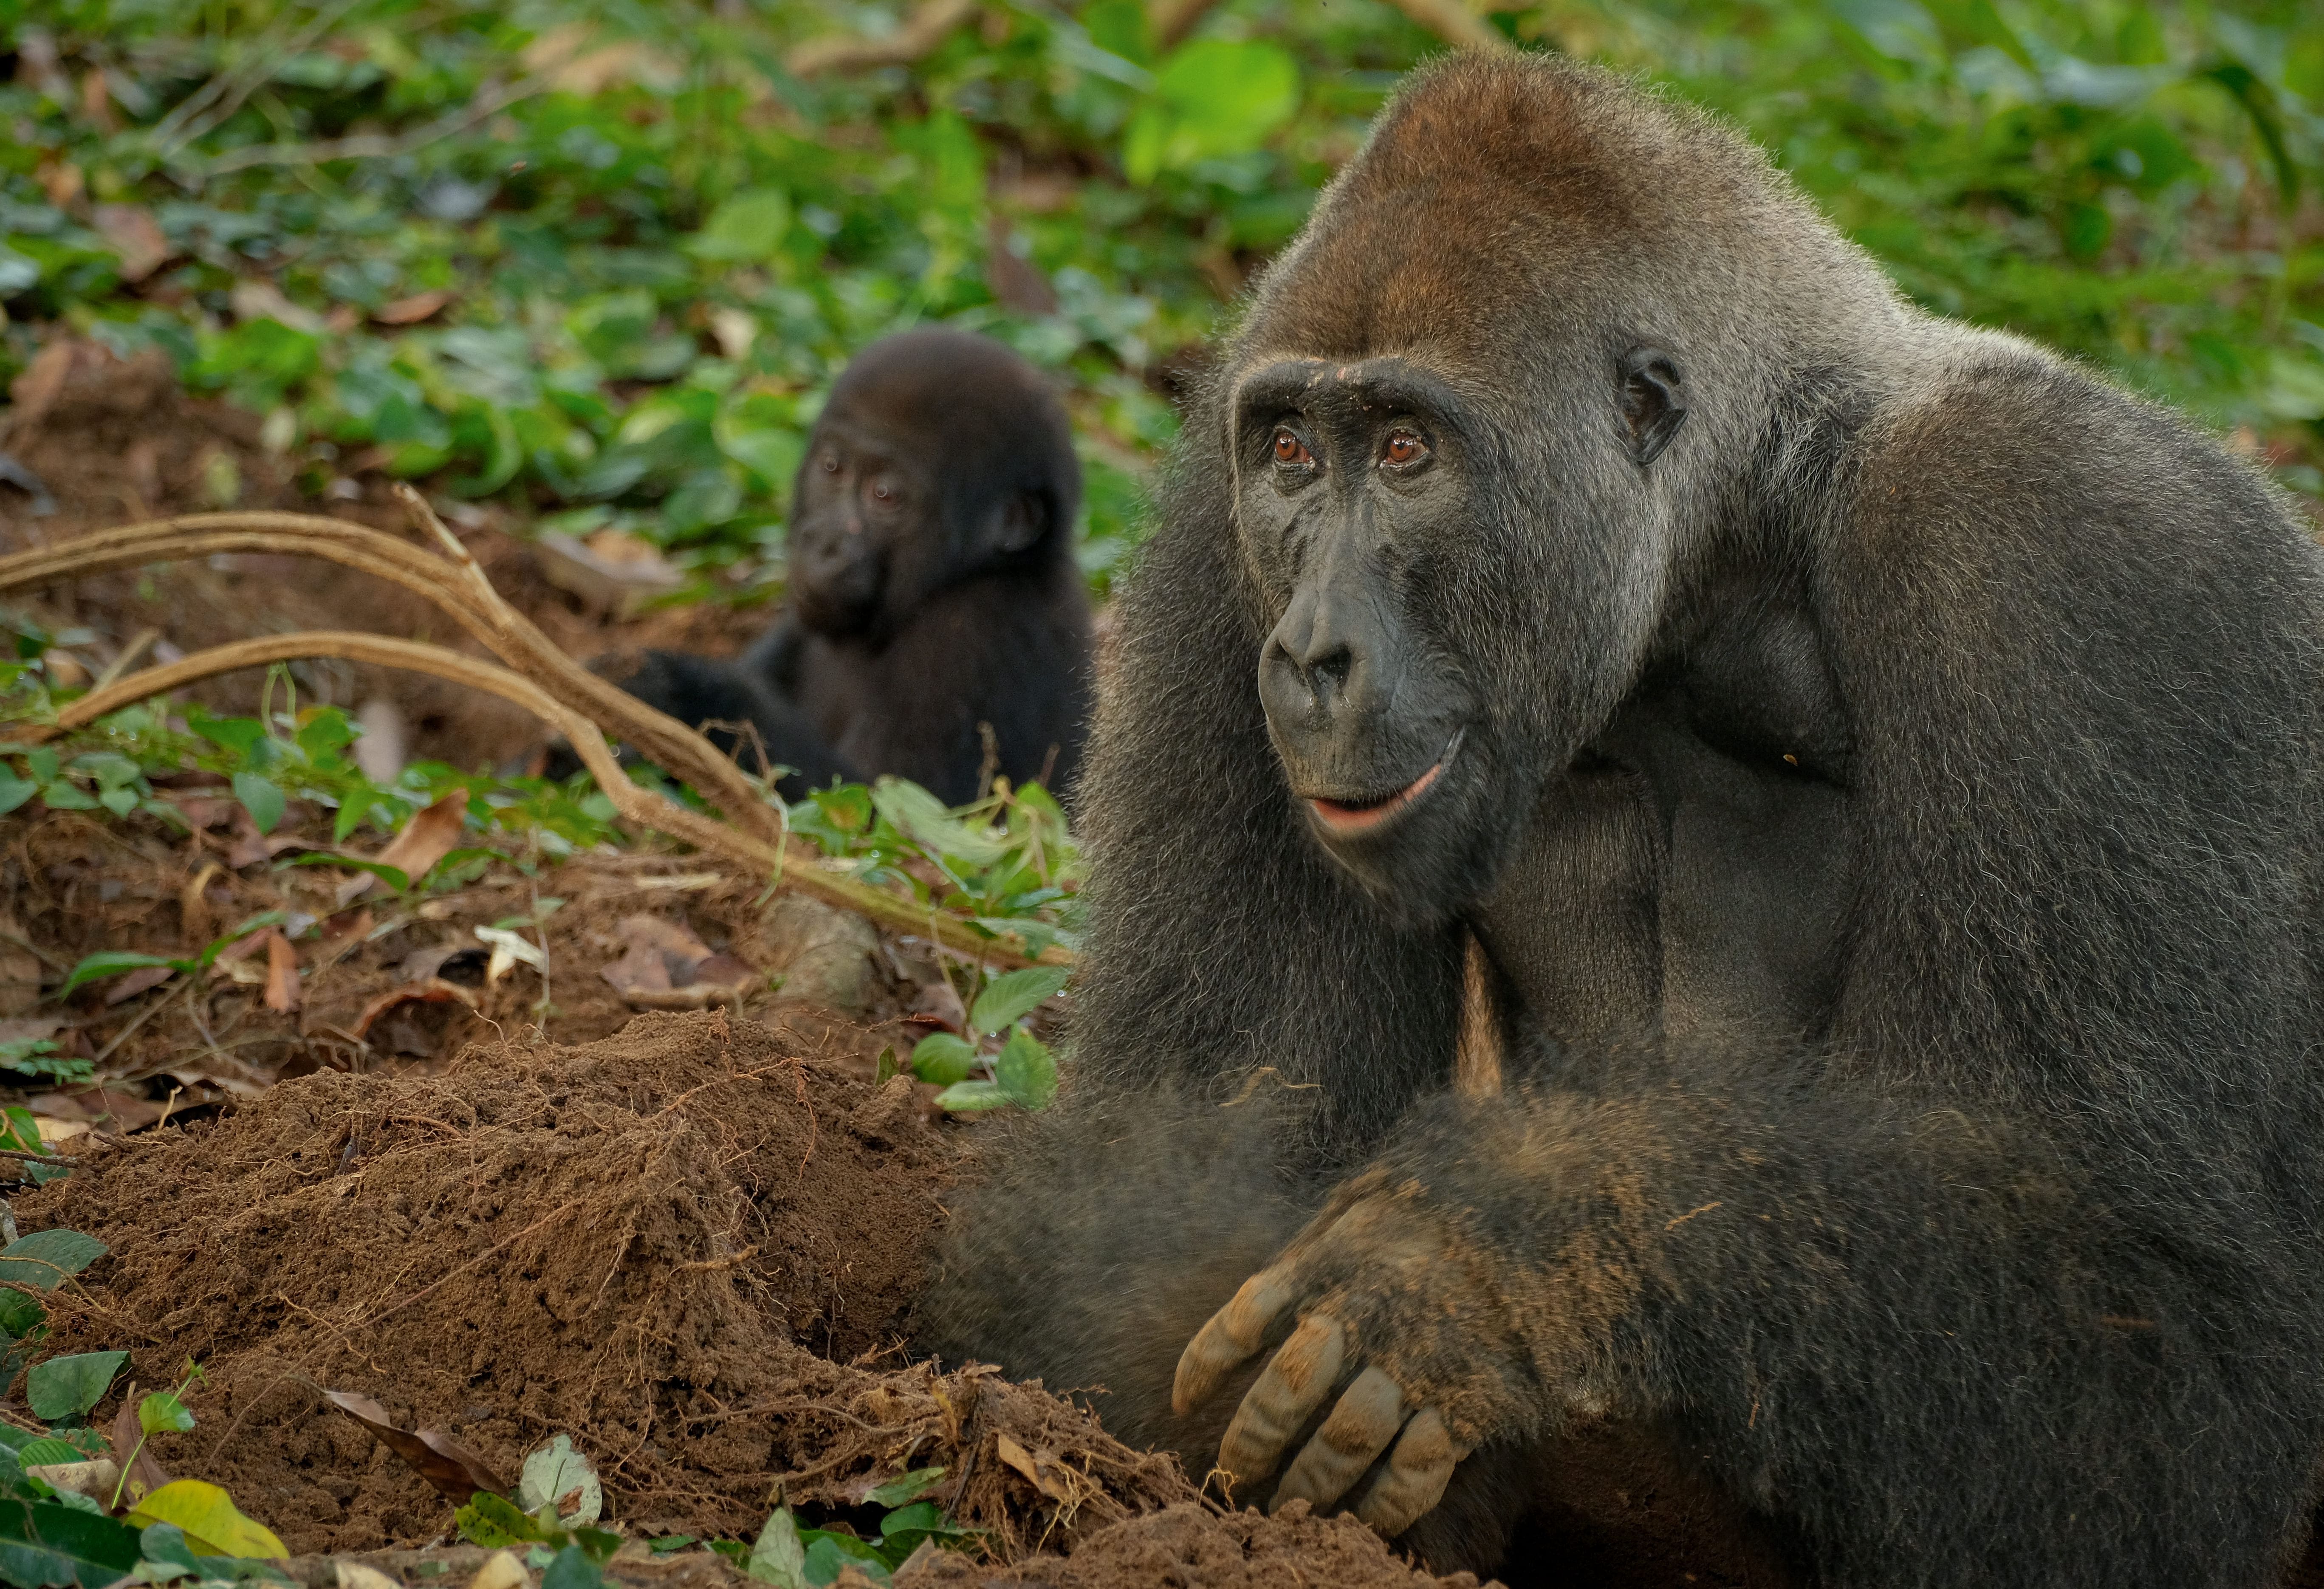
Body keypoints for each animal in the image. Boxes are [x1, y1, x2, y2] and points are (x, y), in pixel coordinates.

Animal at [594, 329, 1094, 804]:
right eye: (832, 466)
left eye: (885, 495)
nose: (823, 542)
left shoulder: (973, 632)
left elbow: (893, 806)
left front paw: (678, 691)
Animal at [917, 54, 2324, 1589]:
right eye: (1290, 452)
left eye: (1405, 451)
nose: (1308, 657)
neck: (1741, 543)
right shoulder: (1214, 551)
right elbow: (1184, 1170)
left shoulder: (2062, 543)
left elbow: (2156, 1340)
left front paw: (1501, 1258)